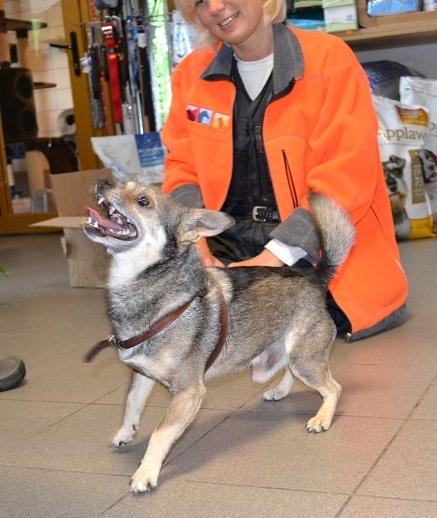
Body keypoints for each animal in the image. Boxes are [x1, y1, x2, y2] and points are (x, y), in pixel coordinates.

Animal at [83, 178, 356, 493]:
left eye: (143, 201)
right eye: (121, 184)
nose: (103, 182)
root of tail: (315, 278)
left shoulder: (189, 392)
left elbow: (161, 432)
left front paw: (146, 472)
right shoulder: (141, 373)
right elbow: (131, 404)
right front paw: (126, 432)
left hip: (304, 359)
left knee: (333, 388)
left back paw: (322, 418)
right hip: (278, 361)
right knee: (291, 371)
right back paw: (279, 391)